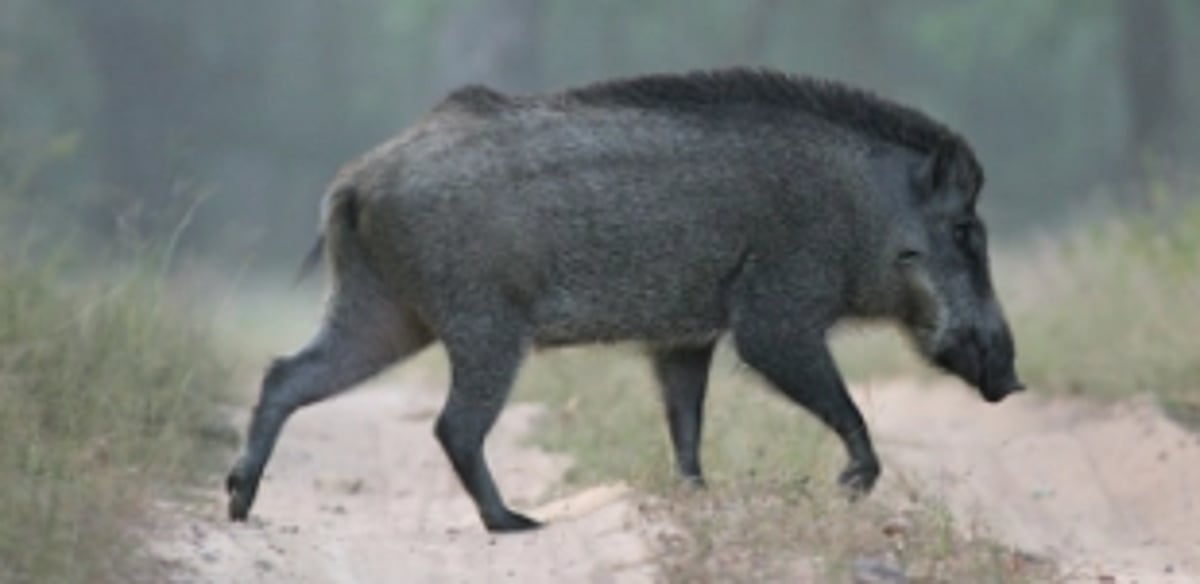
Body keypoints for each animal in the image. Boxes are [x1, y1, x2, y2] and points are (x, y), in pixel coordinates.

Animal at [225, 67, 1023, 533]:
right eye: (965, 230)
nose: (1012, 380)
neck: (863, 210)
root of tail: (357, 180)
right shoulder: (775, 313)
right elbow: (834, 400)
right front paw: (852, 485)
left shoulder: (686, 335)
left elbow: (686, 420)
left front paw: (696, 494)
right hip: (482, 322)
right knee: (454, 424)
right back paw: (515, 523)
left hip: (386, 310)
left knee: (286, 374)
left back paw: (238, 502)